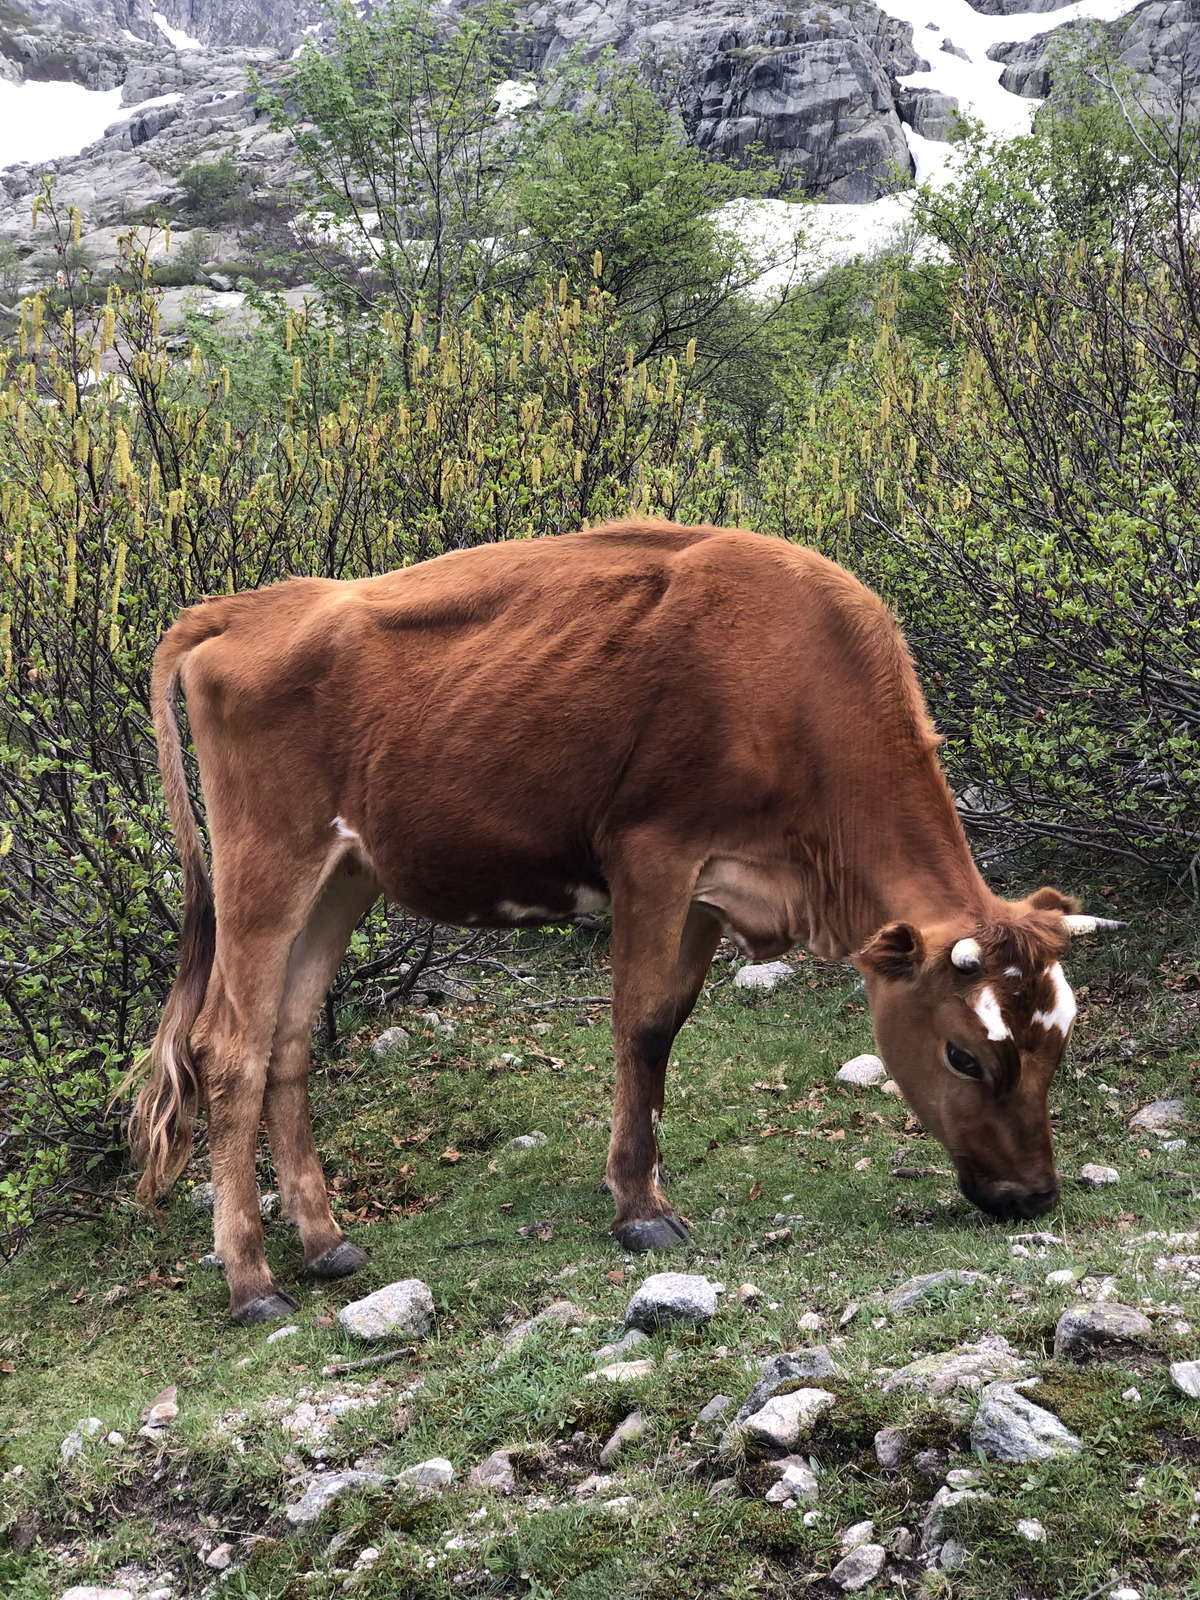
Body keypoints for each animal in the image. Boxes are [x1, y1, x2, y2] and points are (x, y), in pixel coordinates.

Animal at [133, 518, 1126, 1318]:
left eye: (1058, 1043)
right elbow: (641, 1025)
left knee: (289, 1039)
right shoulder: (652, 852)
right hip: (268, 860)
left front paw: (635, 1181)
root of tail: (244, 608)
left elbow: (669, 1026)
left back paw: (326, 1241)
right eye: (964, 1054)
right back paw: (252, 1282)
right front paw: (642, 1211)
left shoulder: (713, 886)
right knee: (230, 1047)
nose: (1034, 1194)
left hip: (344, 875)